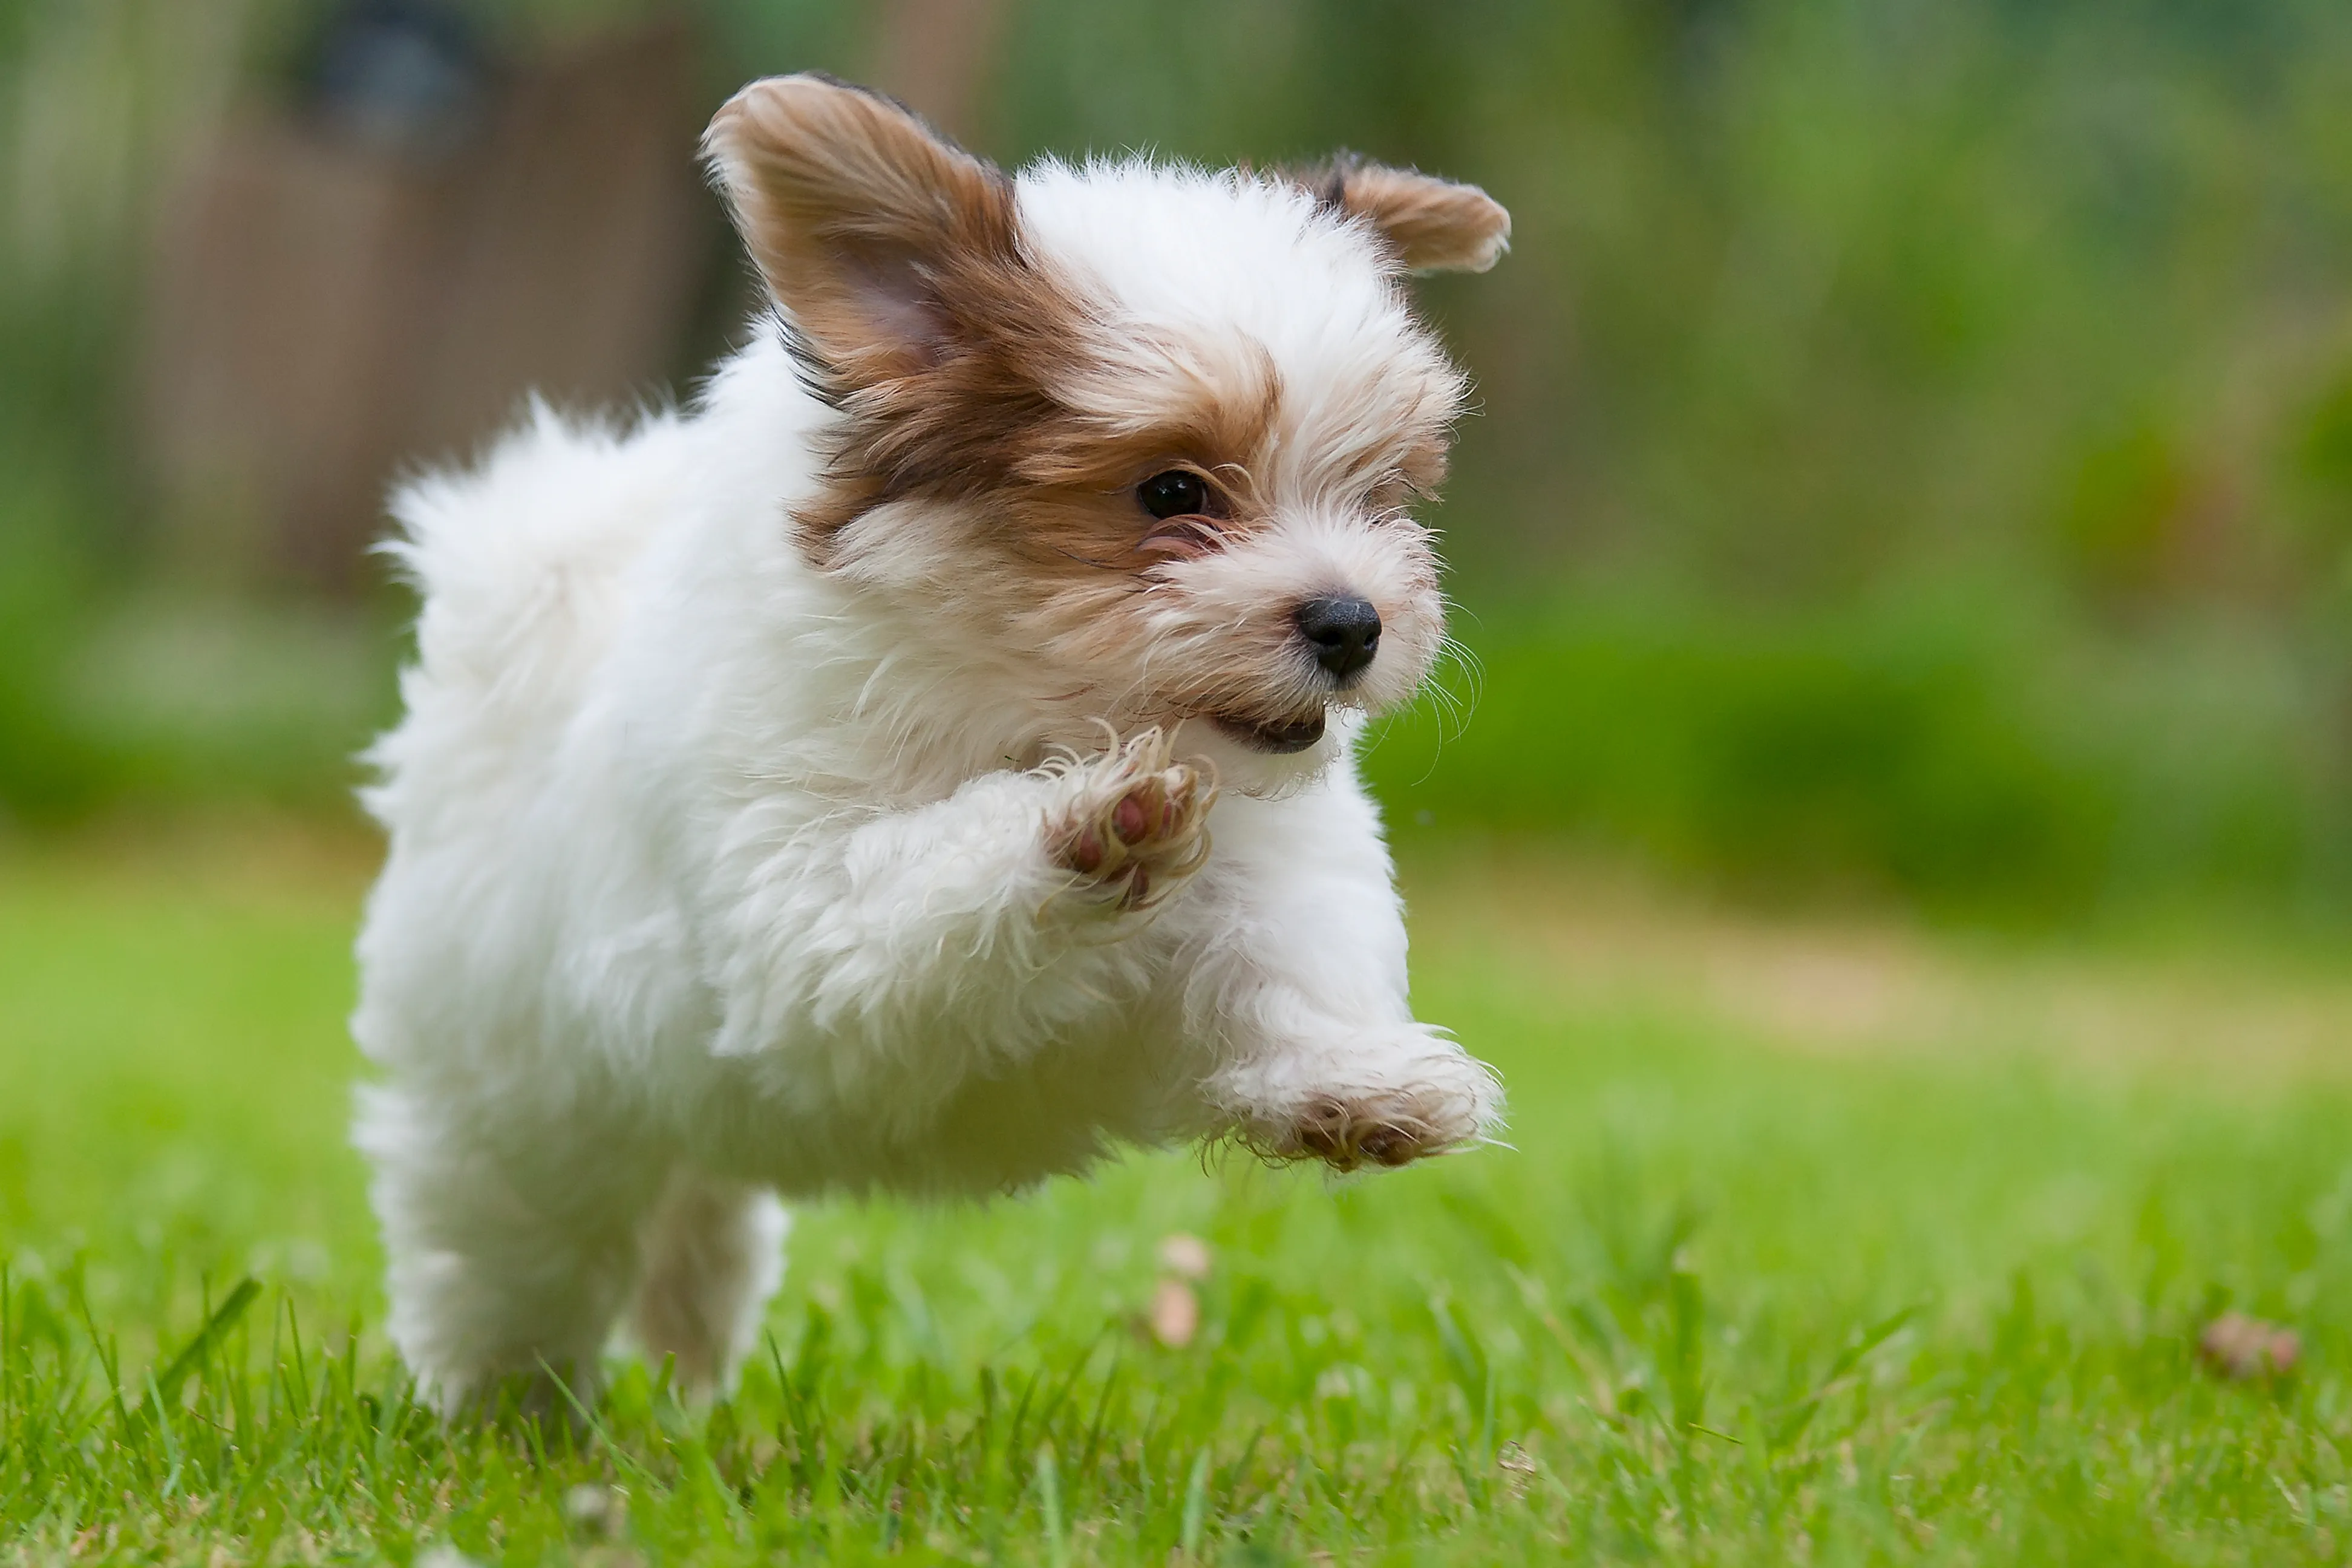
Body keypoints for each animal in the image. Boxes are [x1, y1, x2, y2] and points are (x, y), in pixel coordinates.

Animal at [357, 73, 1514, 1420]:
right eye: (1172, 494)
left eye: (1379, 496)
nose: (1351, 622)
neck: (1033, 701)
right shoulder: (801, 908)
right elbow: (911, 897)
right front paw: (1083, 824)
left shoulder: (1270, 870)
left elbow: (1285, 964)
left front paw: (1349, 1087)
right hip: (514, 1103)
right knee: (511, 1251)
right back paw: (513, 1416)